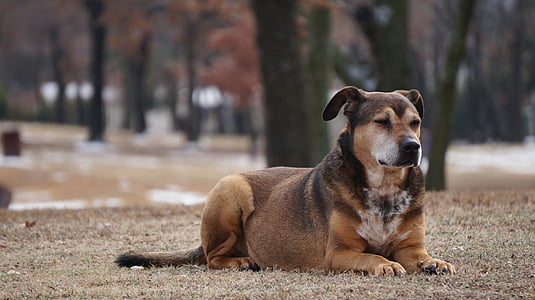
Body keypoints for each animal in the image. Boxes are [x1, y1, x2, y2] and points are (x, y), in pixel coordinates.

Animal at [117, 85, 456, 276]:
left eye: (416, 122)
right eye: (382, 122)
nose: (413, 146)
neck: (383, 188)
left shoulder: (410, 247)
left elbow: (420, 255)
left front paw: (434, 262)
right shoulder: (338, 253)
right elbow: (370, 256)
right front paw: (384, 263)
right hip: (230, 190)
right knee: (213, 258)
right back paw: (240, 262)